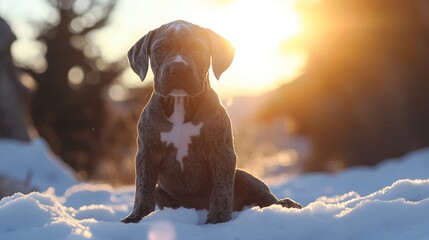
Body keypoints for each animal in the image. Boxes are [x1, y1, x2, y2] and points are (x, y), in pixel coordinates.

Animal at [120, 20, 300, 225]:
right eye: (159, 50)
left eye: (197, 49)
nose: (178, 68)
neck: (181, 103)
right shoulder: (147, 153)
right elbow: (143, 189)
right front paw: (137, 217)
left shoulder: (221, 152)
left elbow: (221, 189)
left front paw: (218, 219)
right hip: (162, 191)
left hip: (243, 176)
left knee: (266, 198)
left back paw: (286, 204)